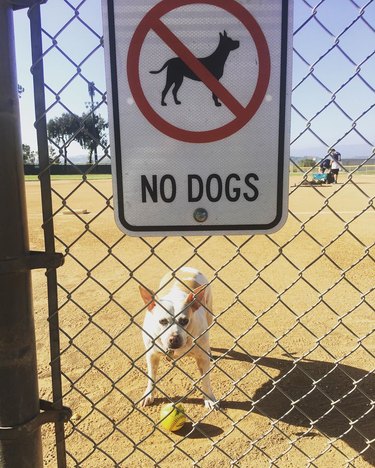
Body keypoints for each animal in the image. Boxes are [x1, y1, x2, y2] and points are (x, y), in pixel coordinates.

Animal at [140, 266, 219, 410]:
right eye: (162, 321)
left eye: (184, 321)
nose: (174, 338)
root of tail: (187, 267)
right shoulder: (151, 355)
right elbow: (151, 377)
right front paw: (148, 395)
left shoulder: (202, 358)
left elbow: (206, 380)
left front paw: (209, 398)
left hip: (209, 314)